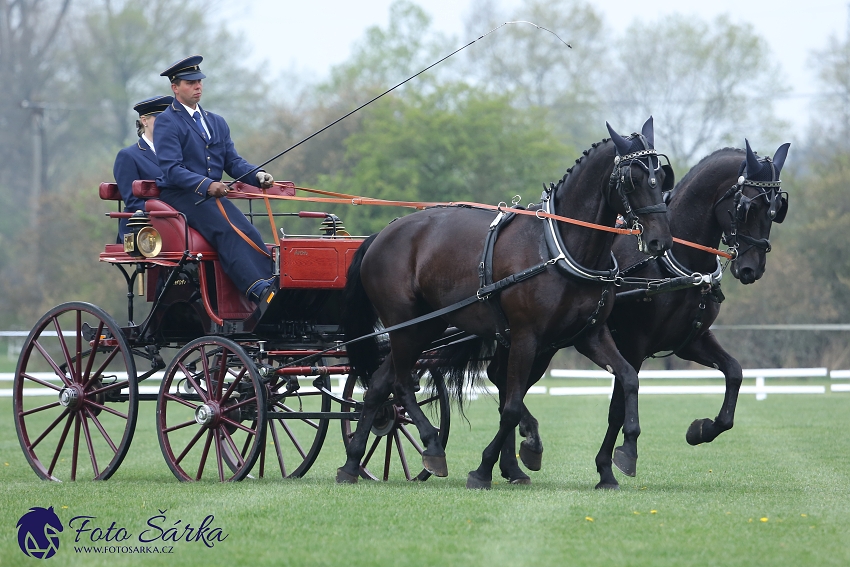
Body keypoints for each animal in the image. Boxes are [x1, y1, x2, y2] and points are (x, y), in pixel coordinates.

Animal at [340, 118, 676, 488]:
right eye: (633, 179)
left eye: (661, 177)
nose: (660, 240)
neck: (558, 247)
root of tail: (380, 236)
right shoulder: (526, 336)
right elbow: (512, 406)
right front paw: (484, 469)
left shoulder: (590, 335)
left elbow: (629, 377)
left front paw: (622, 454)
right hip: (406, 326)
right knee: (401, 384)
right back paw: (431, 445)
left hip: (427, 326)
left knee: (379, 385)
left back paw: (352, 463)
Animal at [496, 140, 788, 490]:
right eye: (746, 208)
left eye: (777, 209)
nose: (751, 269)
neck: (670, 263)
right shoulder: (633, 345)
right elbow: (618, 407)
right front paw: (617, 460)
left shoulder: (691, 341)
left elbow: (734, 372)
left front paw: (702, 429)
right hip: (535, 343)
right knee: (507, 387)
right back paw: (522, 449)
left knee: (505, 386)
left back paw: (512, 464)